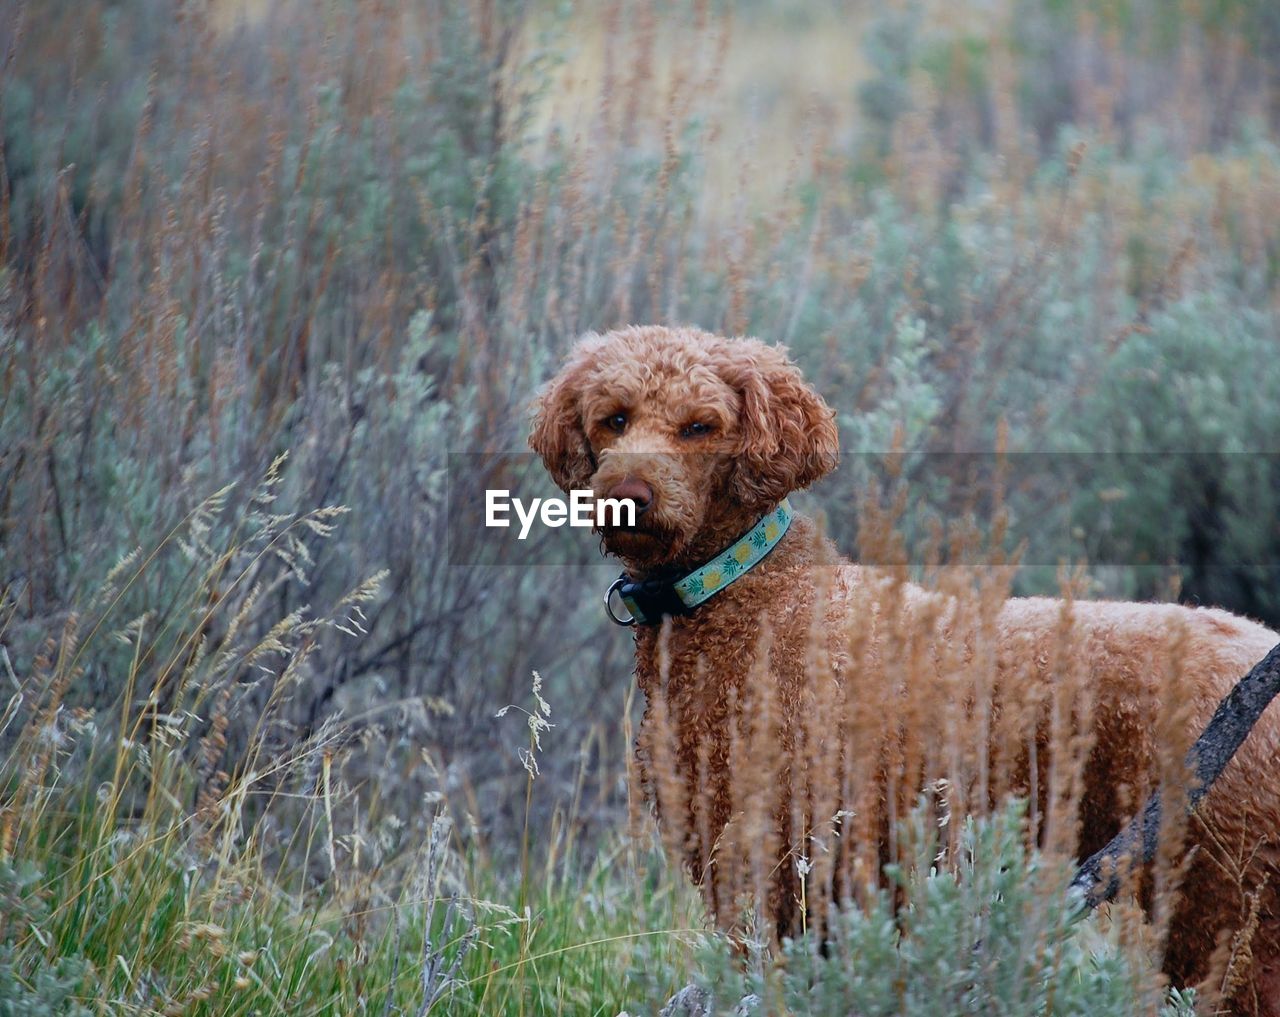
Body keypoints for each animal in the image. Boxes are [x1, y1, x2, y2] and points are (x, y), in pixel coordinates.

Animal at [527, 323, 1280, 1008]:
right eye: (614, 417)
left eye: (698, 426)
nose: (627, 494)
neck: (750, 596)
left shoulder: (780, 866)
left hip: (1225, 900)